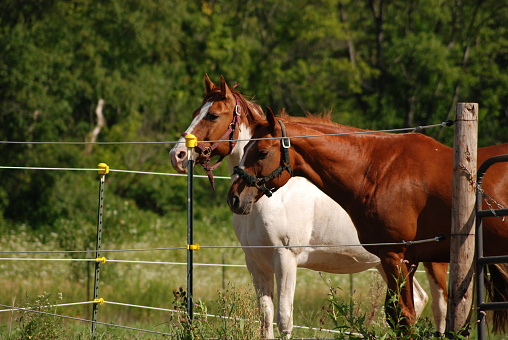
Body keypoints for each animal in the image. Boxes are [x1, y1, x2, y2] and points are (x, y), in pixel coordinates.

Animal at [169, 74, 446, 338]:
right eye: (195, 113)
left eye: (213, 115)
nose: (177, 155)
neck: (271, 199)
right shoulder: (256, 263)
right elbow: (265, 320)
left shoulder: (286, 260)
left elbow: (284, 320)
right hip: (390, 263)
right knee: (418, 300)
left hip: (430, 262)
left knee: (440, 306)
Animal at [228, 107, 508, 334]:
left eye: (262, 152)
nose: (234, 198)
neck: (380, 170)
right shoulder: (405, 259)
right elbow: (398, 315)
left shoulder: (394, 256)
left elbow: (404, 317)